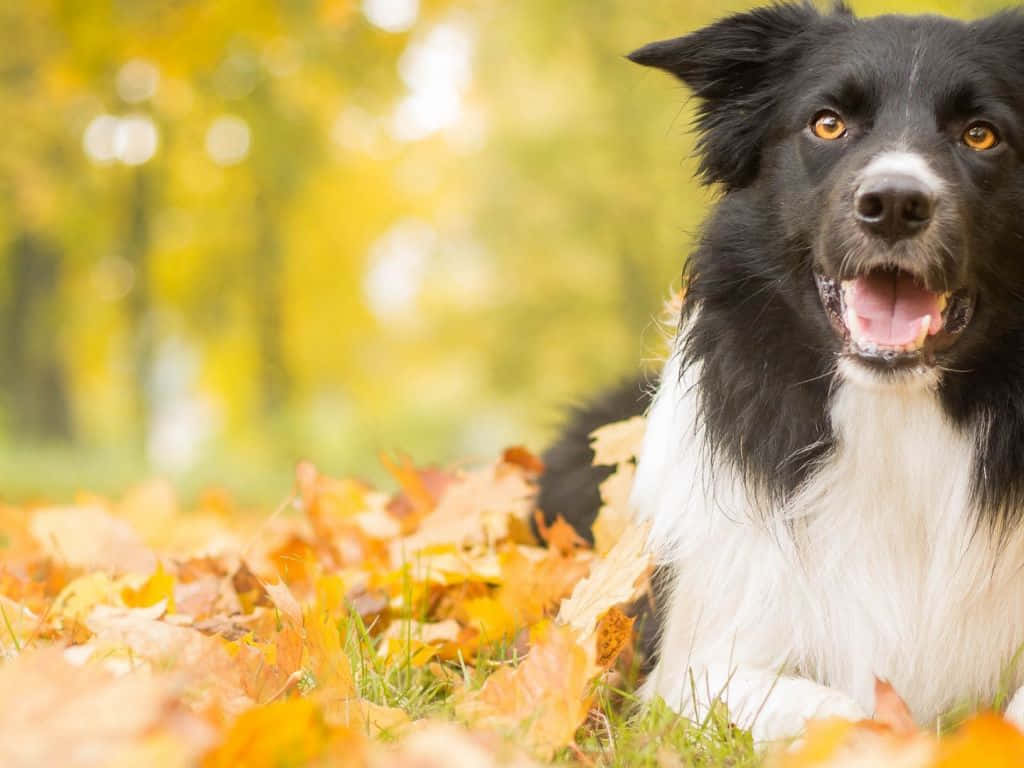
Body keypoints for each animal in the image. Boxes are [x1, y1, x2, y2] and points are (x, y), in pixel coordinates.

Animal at [540, 1, 1024, 745]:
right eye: (828, 124)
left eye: (982, 134)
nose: (894, 204)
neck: (897, 417)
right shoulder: (690, 667)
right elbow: (846, 713)